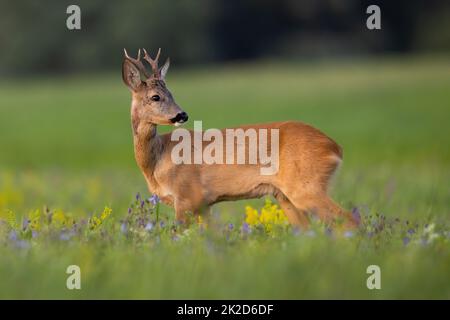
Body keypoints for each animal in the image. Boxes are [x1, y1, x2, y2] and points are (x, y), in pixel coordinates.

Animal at [121, 47, 356, 228]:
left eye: (171, 94)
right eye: (156, 96)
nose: (182, 115)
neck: (156, 162)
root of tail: (335, 147)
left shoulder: (187, 196)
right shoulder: (203, 205)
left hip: (306, 187)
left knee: (349, 220)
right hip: (284, 196)